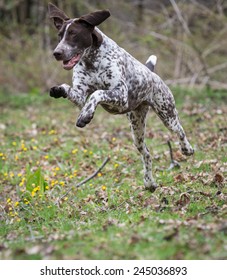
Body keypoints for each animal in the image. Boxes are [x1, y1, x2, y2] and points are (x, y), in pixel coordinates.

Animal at [47, 3, 193, 191]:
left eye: (74, 34)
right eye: (60, 35)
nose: (57, 53)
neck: (91, 60)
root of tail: (151, 73)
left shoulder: (121, 95)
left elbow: (97, 93)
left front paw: (85, 115)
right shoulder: (79, 94)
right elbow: (72, 90)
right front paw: (59, 90)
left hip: (167, 115)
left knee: (180, 131)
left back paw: (187, 149)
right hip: (137, 130)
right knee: (146, 154)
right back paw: (149, 182)